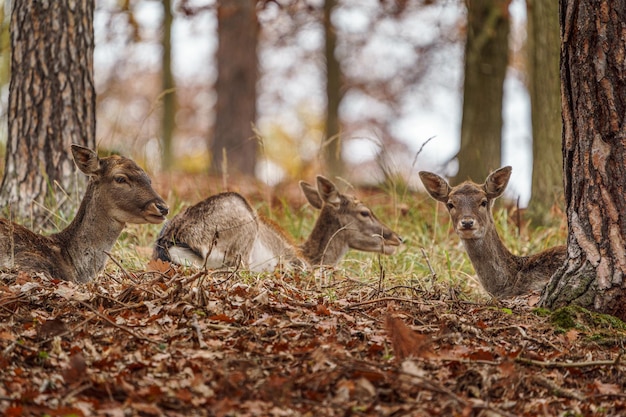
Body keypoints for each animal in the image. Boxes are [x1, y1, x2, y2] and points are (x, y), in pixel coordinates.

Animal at [154, 175, 402, 270]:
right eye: (364, 212)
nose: (397, 238)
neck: (311, 256)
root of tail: (172, 241)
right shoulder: (298, 263)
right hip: (242, 230)